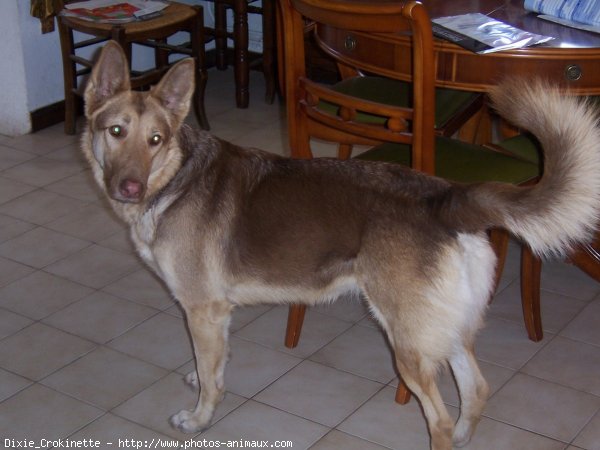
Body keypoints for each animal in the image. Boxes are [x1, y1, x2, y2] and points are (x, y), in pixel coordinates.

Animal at [83, 40, 600, 448]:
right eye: (116, 131)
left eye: (155, 139)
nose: (128, 188)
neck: (175, 178)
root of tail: (446, 197)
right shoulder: (216, 312)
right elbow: (214, 361)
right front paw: (204, 373)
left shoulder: (201, 308)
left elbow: (211, 381)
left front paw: (199, 418)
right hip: (443, 330)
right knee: (476, 391)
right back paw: (466, 435)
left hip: (407, 343)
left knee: (439, 418)